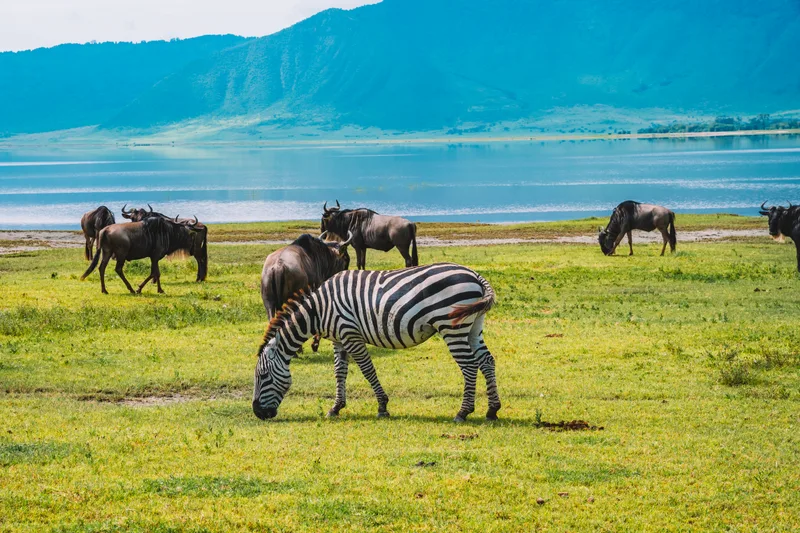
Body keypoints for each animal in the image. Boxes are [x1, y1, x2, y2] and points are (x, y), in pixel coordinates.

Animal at [252, 263, 501, 422]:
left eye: (263, 376)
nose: (257, 413)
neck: (319, 310)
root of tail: (475, 275)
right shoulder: (339, 339)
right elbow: (339, 372)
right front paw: (336, 407)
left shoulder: (350, 334)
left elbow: (367, 369)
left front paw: (382, 406)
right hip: (473, 326)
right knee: (487, 361)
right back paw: (492, 410)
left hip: (452, 327)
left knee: (469, 366)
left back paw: (463, 412)